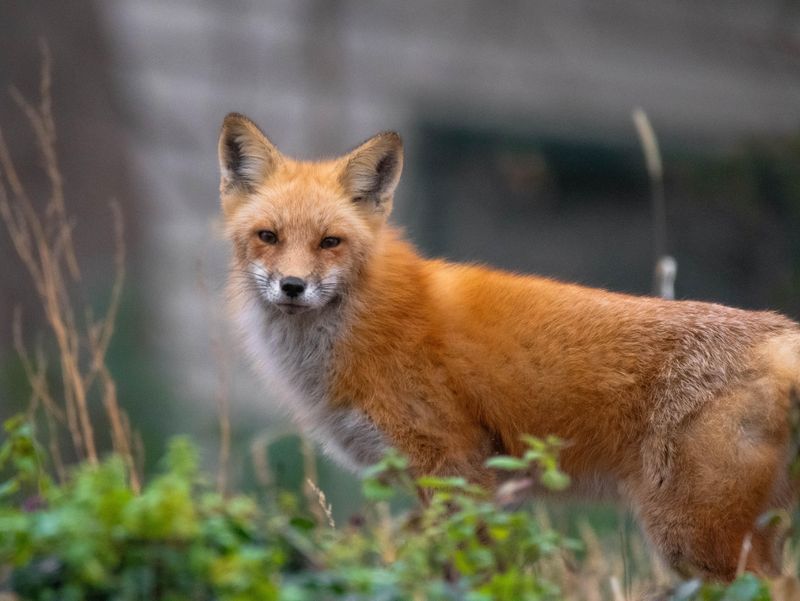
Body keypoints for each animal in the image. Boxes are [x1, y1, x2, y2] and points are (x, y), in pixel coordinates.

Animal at [218, 112, 800, 581]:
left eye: (330, 243)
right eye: (268, 236)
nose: (293, 286)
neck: (364, 324)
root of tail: (780, 333)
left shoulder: (454, 466)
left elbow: (469, 571)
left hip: (695, 541)